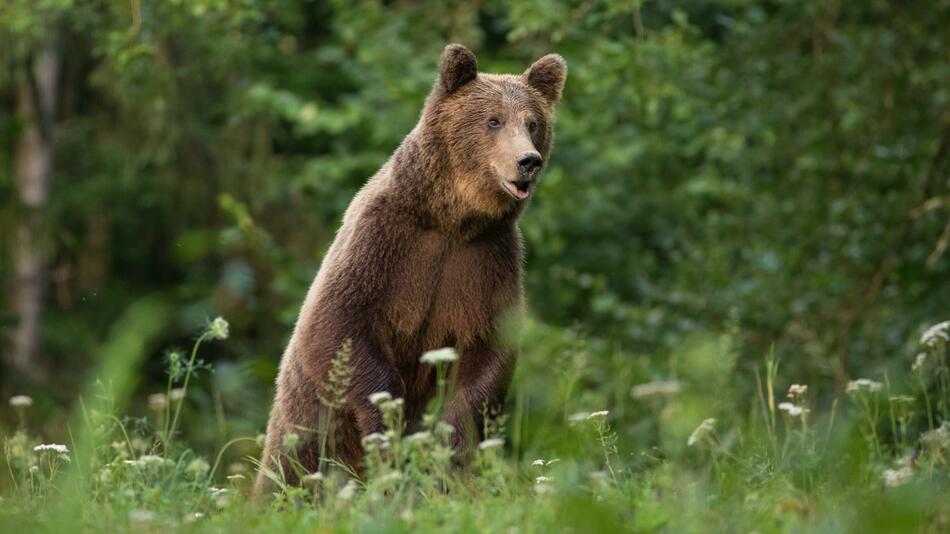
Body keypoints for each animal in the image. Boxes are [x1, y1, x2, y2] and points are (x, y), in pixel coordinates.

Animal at [255, 44, 564, 496]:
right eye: (493, 120)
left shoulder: (486, 262)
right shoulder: (384, 244)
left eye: (533, 122)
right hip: (306, 430)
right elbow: (338, 323)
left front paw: (447, 447)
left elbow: (488, 352)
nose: (528, 161)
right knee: (292, 469)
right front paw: (388, 426)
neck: (453, 220)